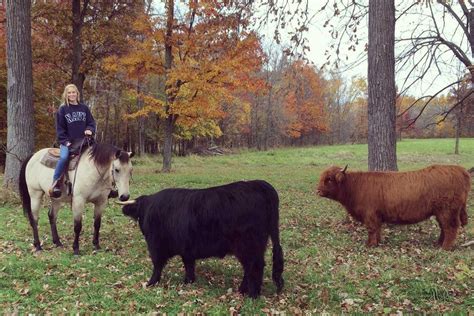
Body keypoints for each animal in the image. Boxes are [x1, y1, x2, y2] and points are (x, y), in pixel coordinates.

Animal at [120, 179, 284, 298]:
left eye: (140, 214)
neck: (150, 210)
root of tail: (259, 184)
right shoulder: (187, 248)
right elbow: (188, 265)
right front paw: (188, 281)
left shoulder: (156, 246)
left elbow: (157, 265)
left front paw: (151, 283)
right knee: (250, 268)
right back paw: (243, 290)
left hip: (248, 246)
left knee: (255, 266)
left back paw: (252, 294)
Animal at [314, 165, 470, 249]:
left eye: (329, 179)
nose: (317, 191)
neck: (355, 187)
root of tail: (459, 169)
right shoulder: (376, 215)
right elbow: (377, 229)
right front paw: (377, 242)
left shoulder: (370, 214)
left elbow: (372, 229)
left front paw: (370, 244)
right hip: (441, 212)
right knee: (444, 228)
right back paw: (438, 243)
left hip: (447, 211)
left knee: (450, 228)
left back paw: (444, 247)